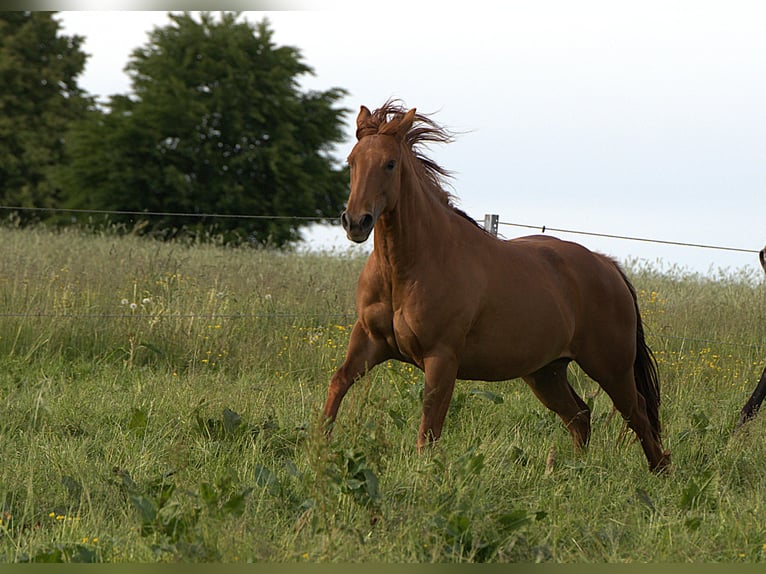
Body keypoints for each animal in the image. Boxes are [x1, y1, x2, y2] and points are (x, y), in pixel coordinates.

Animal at [323, 101, 670, 473]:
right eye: (351, 161)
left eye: (390, 163)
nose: (356, 222)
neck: (407, 269)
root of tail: (608, 265)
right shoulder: (369, 342)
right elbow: (337, 385)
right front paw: (317, 448)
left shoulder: (441, 358)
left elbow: (429, 430)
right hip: (546, 373)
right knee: (580, 415)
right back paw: (568, 473)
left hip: (610, 369)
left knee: (639, 419)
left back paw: (659, 474)